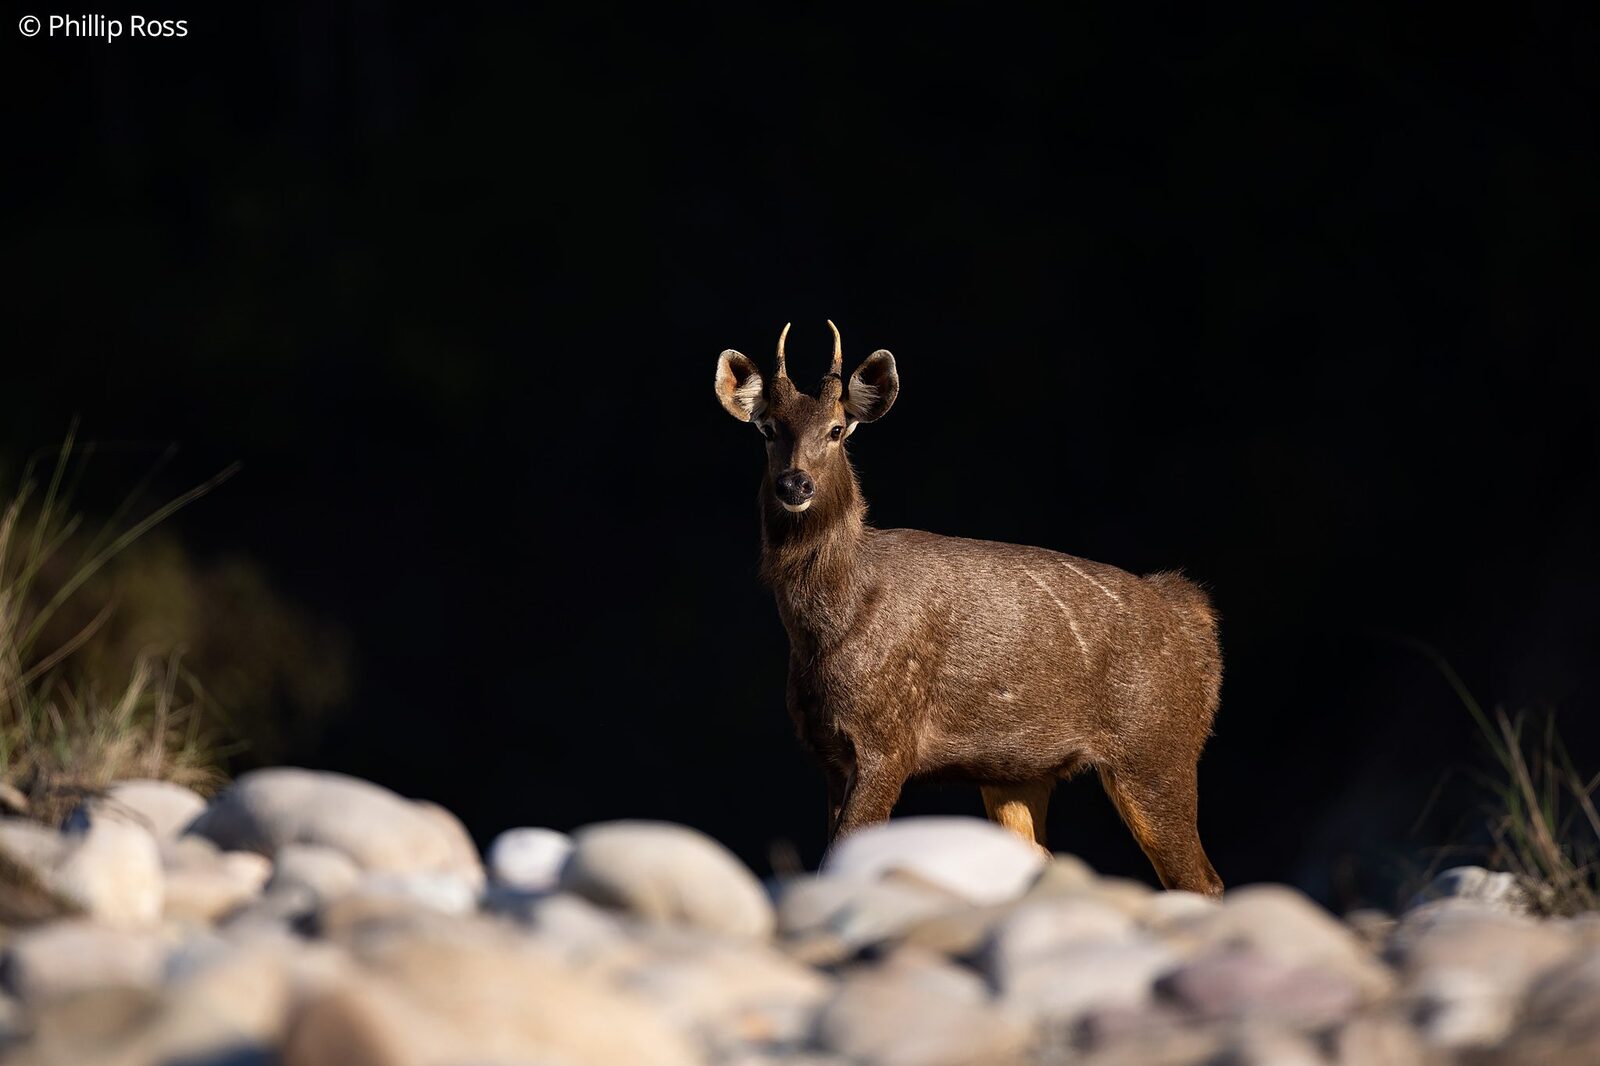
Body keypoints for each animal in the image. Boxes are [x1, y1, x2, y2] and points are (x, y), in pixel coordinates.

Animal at [713, 322, 1225, 895]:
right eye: (768, 429)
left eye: (838, 430)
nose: (795, 484)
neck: (827, 627)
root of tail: (1194, 618)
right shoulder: (828, 752)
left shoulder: (888, 738)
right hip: (1020, 773)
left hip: (1157, 747)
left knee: (1201, 880)